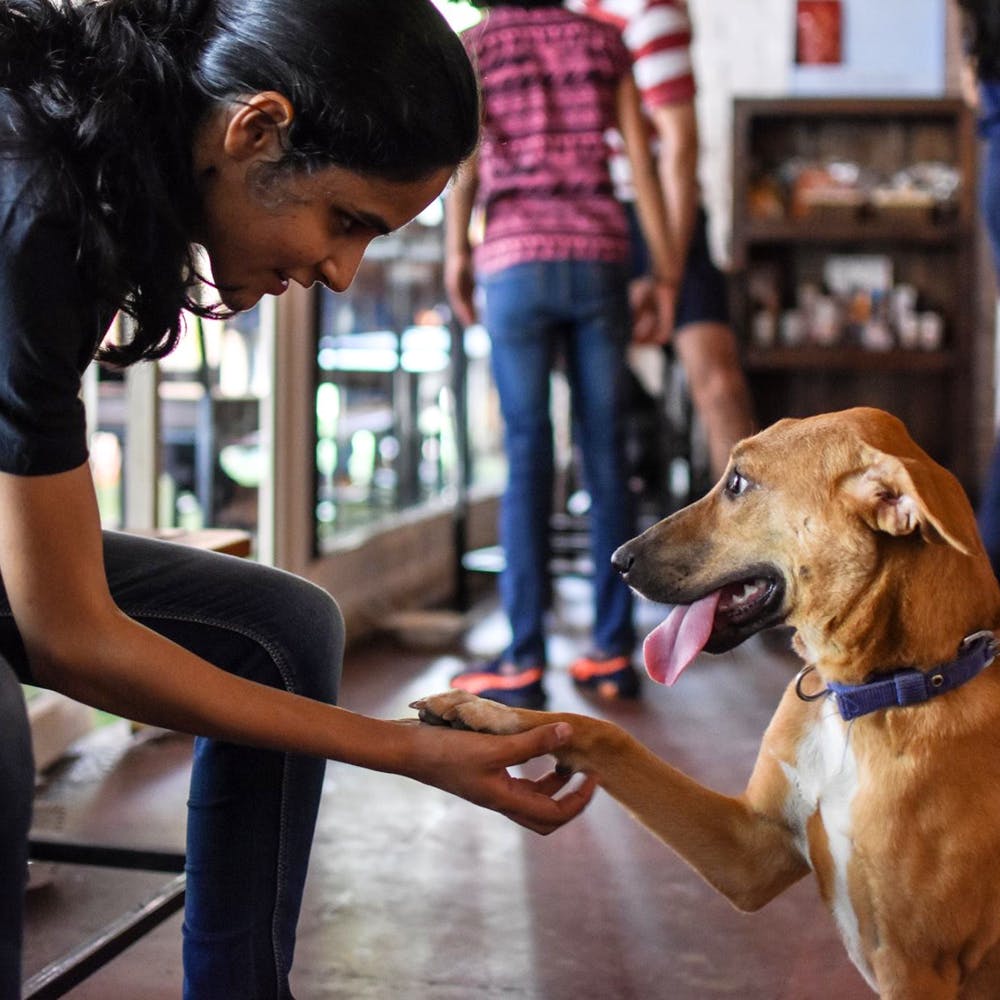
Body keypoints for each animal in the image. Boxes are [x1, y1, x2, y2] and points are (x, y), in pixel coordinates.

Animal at [416, 408, 1000, 1000]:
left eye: (737, 482)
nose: (618, 559)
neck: (864, 700)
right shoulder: (751, 849)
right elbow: (605, 732)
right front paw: (490, 713)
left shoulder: (916, 969)